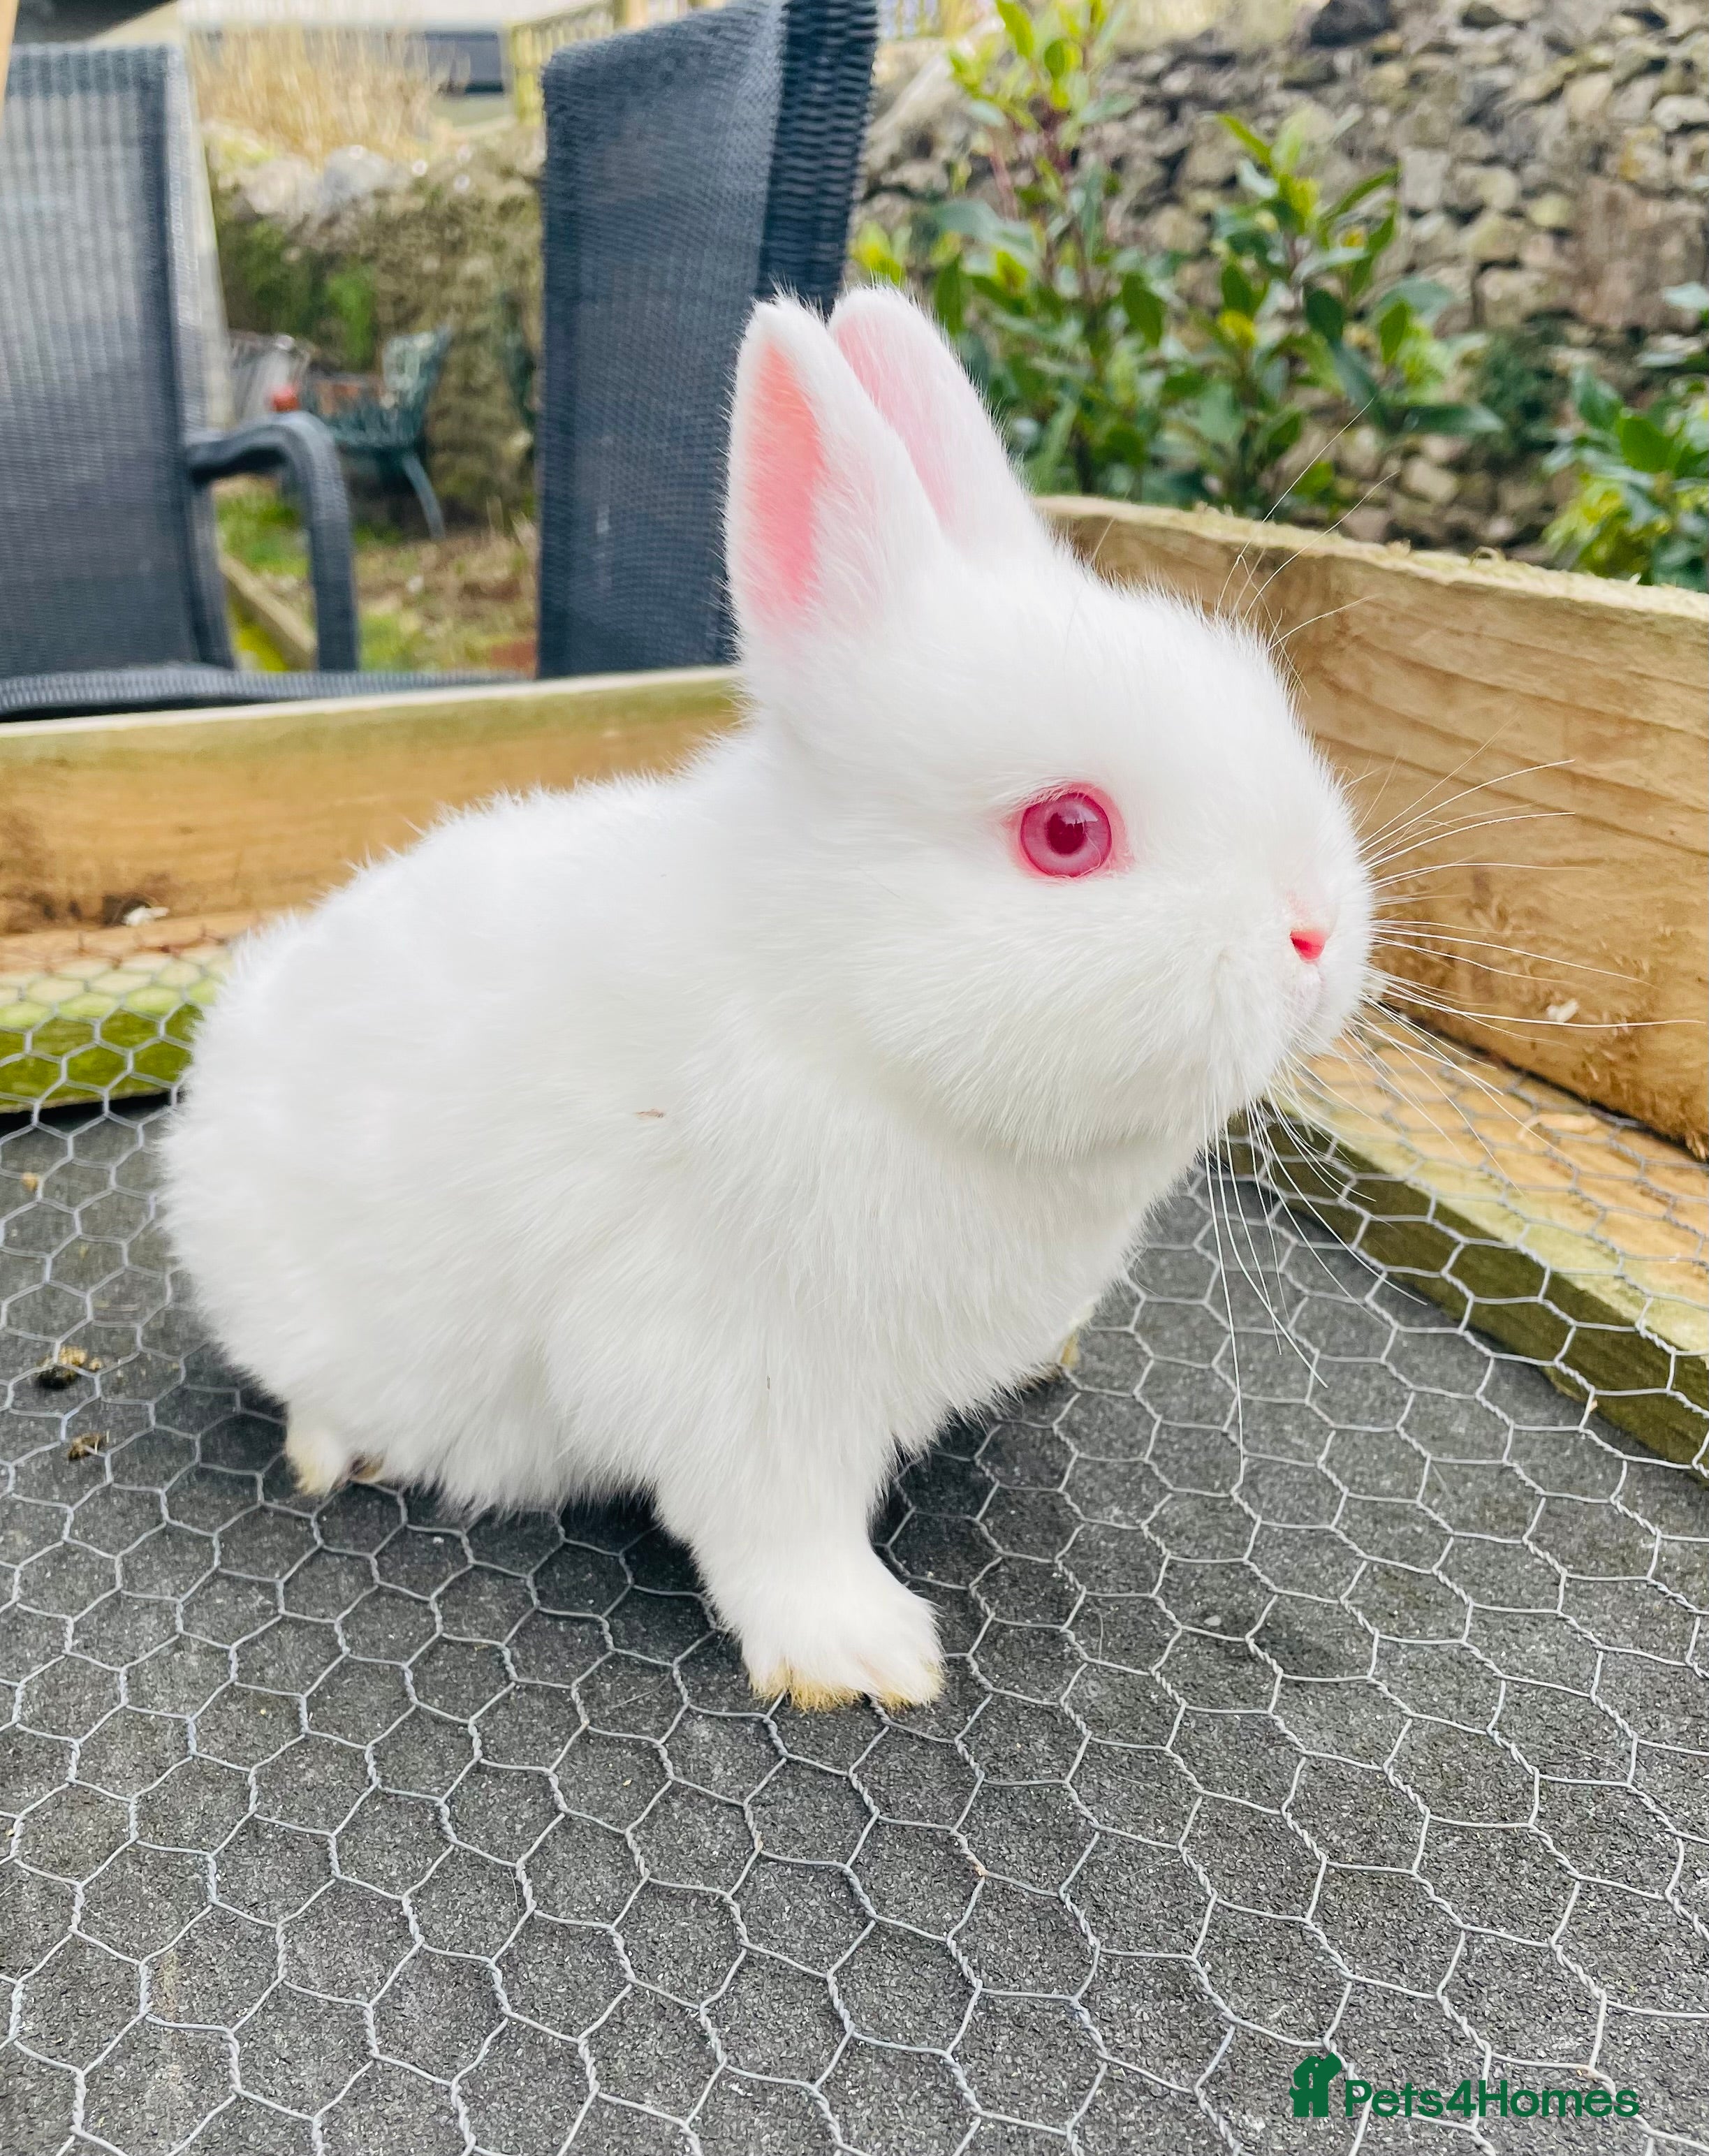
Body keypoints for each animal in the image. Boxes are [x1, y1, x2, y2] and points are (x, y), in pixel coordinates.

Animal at [163, 287, 1372, 1711]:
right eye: (1067, 832)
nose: (1317, 936)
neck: (844, 1012)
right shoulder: (721, 1363)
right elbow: (773, 1519)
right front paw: (861, 1655)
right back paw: (337, 1451)